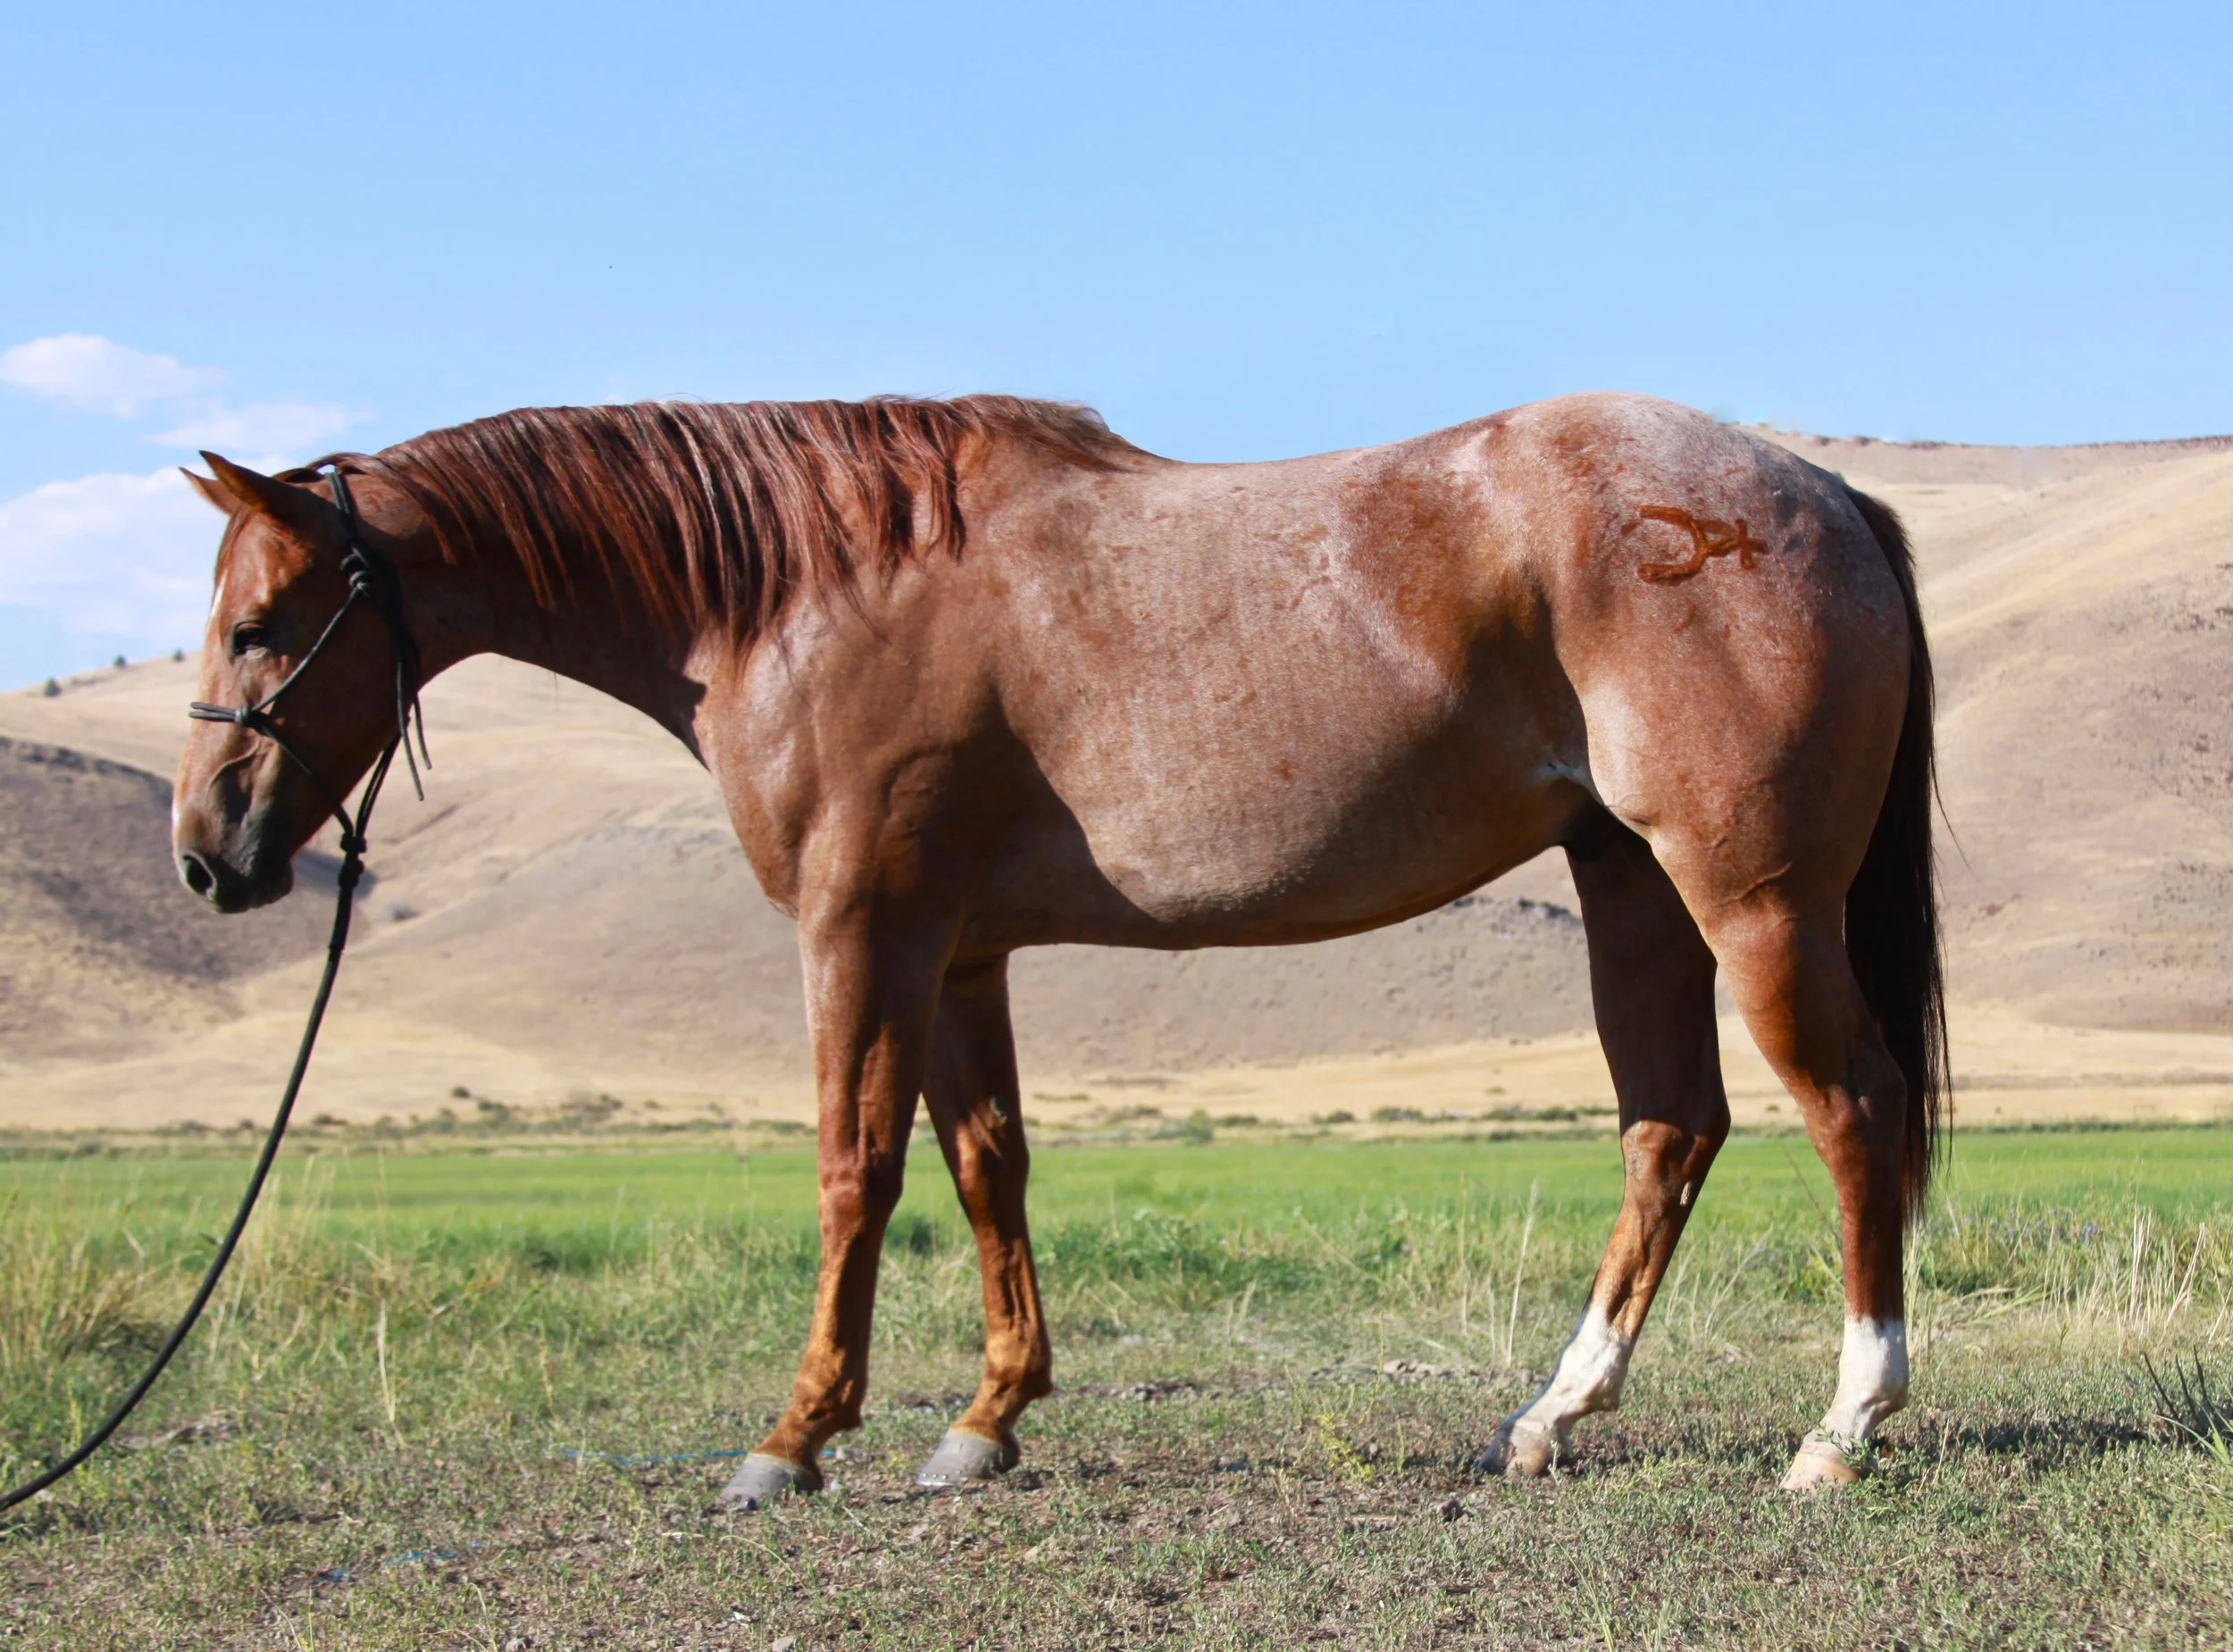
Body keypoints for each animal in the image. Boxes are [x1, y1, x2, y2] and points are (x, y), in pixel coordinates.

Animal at [170, 390, 1944, 1503]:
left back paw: (1843, 1427)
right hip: (1629, 887)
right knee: (1671, 1129)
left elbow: (856, 1170)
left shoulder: (864, 933)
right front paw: (986, 1422)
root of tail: (1819, 493)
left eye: (260, 627)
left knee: (1850, 1117)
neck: (800, 593)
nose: (206, 852)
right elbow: (987, 1168)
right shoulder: (959, 954)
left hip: (1751, 898)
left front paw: (794, 1439)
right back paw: (1550, 1418)